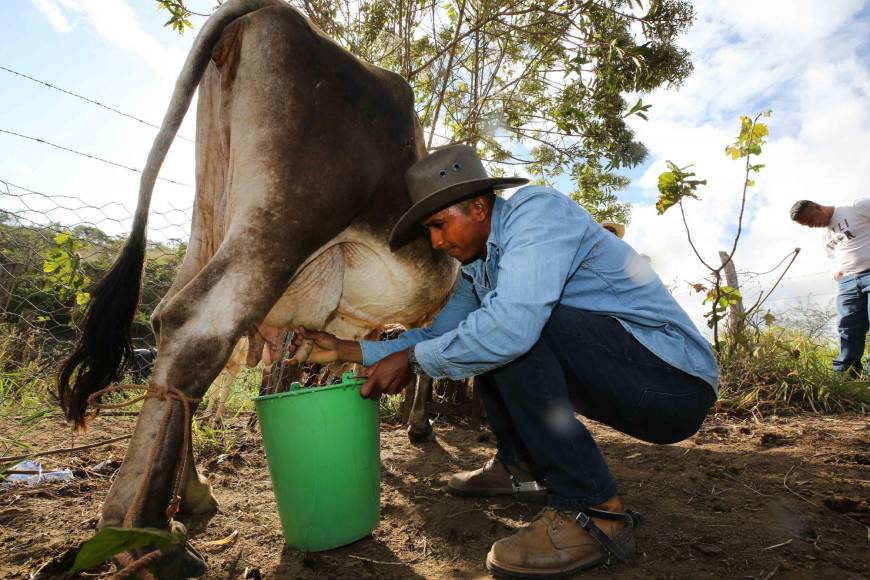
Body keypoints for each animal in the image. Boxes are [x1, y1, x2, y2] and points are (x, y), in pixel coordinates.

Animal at [56, 1, 456, 576]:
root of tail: (275, 10)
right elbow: (426, 357)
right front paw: (419, 424)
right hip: (287, 215)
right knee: (198, 328)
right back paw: (145, 535)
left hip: (212, 212)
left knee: (168, 323)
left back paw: (186, 501)